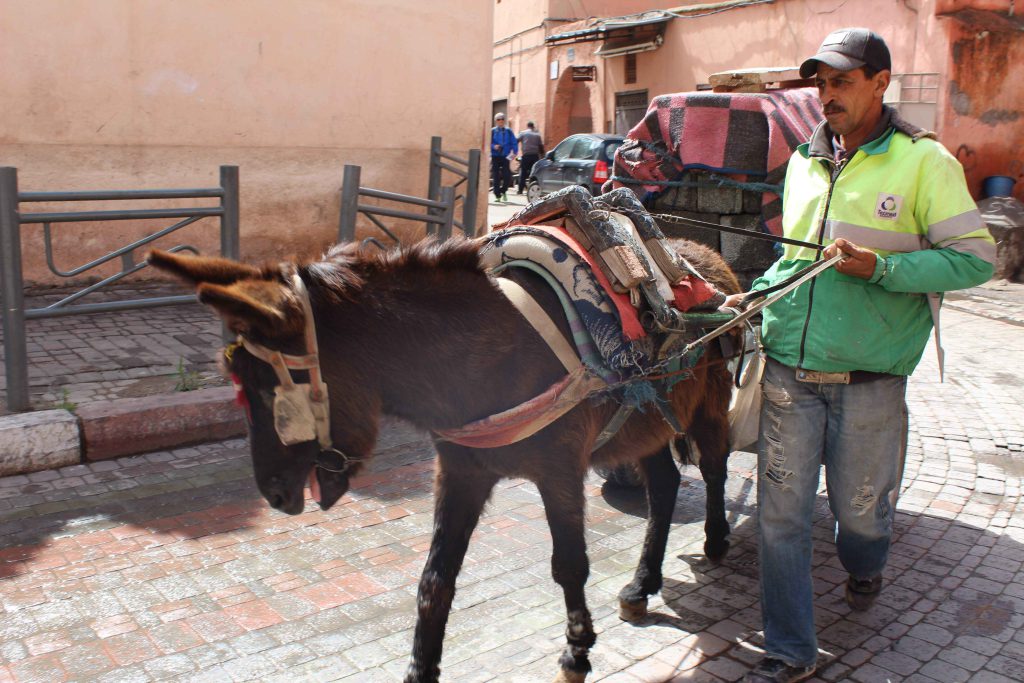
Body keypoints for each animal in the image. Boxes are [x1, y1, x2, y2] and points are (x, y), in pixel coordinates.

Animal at [148, 232, 741, 683]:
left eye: (270, 390)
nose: (273, 494)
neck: (490, 357)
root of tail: (706, 252)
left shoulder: (560, 471)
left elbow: (569, 564)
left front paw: (576, 652)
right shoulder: (460, 472)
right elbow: (435, 580)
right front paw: (420, 669)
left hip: (706, 406)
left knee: (714, 465)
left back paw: (715, 539)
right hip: (648, 425)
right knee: (663, 487)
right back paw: (642, 584)